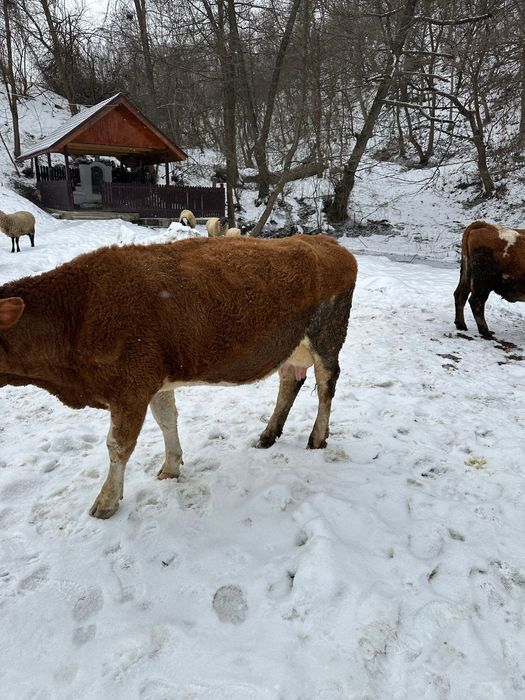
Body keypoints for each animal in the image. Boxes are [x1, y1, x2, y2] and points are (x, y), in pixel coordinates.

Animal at [0, 235, 358, 519]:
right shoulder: (154, 381)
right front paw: (171, 468)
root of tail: (328, 242)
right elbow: (167, 420)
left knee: (326, 385)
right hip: (291, 345)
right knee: (290, 379)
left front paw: (106, 502)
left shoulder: (130, 389)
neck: (76, 313)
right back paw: (268, 435)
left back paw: (317, 438)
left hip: (327, 336)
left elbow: (118, 445)